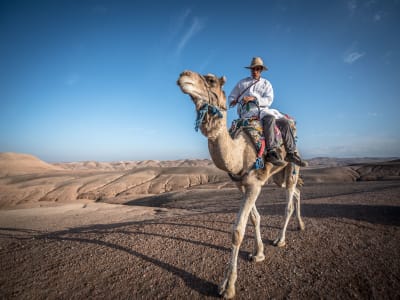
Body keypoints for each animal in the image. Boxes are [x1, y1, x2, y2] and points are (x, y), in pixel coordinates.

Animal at [177, 71, 304, 300]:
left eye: (211, 80)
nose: (184, 76)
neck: (239, 154)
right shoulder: (242, 185)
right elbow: (254, 218)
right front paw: (258, 253)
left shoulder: (254, 185)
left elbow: (237, 231)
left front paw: (227, 287)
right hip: (278, 177)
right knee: (296, 191)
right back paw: (301, 225)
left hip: (291, 166)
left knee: (289, 201)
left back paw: (280, 240)